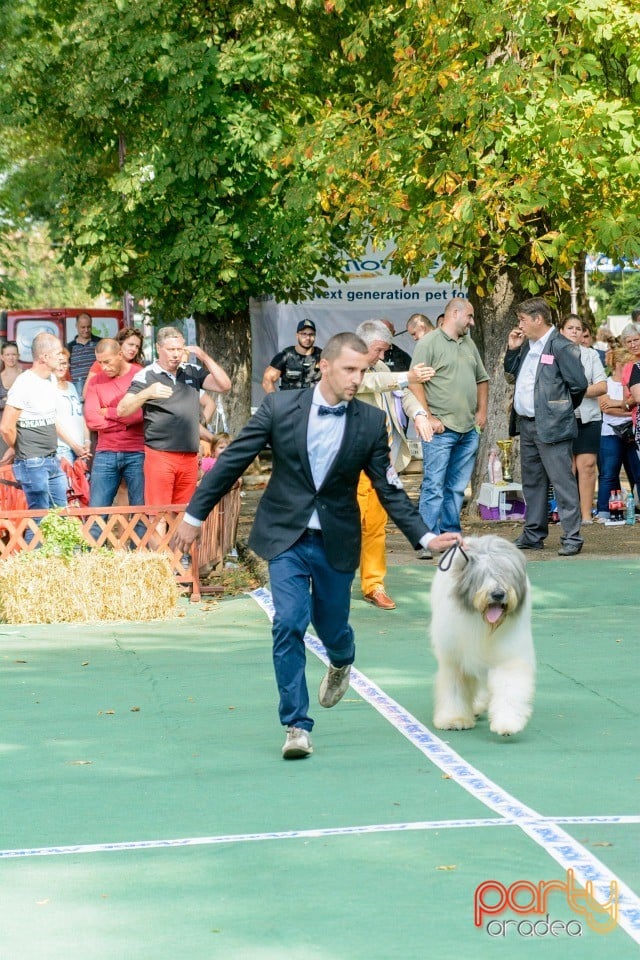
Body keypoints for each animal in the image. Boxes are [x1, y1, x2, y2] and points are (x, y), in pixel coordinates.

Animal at [430, 536, 536, 740]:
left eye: (506, 573)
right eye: (482, 576)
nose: (498, 594)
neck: (485, 625)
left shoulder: (508, 654)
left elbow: (509, 687)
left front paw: (507, 723)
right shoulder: (455, 659)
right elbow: (455, 687)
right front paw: (454, 719)